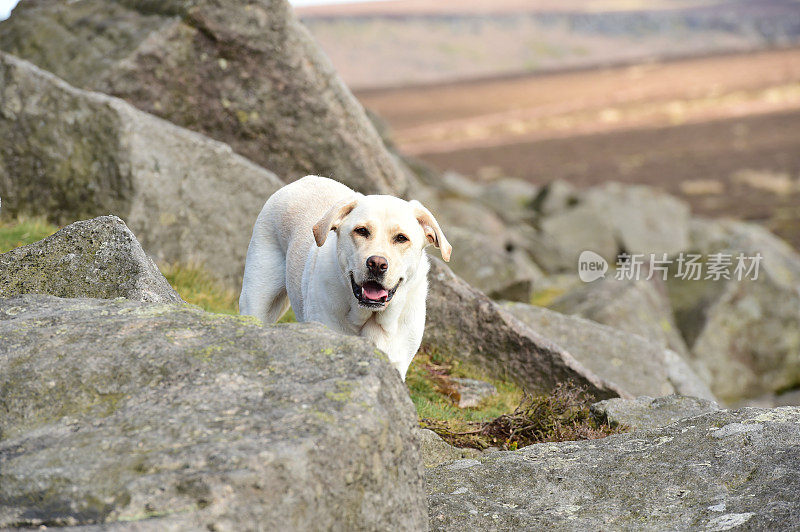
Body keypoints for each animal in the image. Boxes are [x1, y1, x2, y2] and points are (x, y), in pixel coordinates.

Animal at [238, 175, 450, 378]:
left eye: (401, 238)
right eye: (361, 231)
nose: (376, 264)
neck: (368, 318)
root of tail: (304, 180)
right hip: (257, 300)